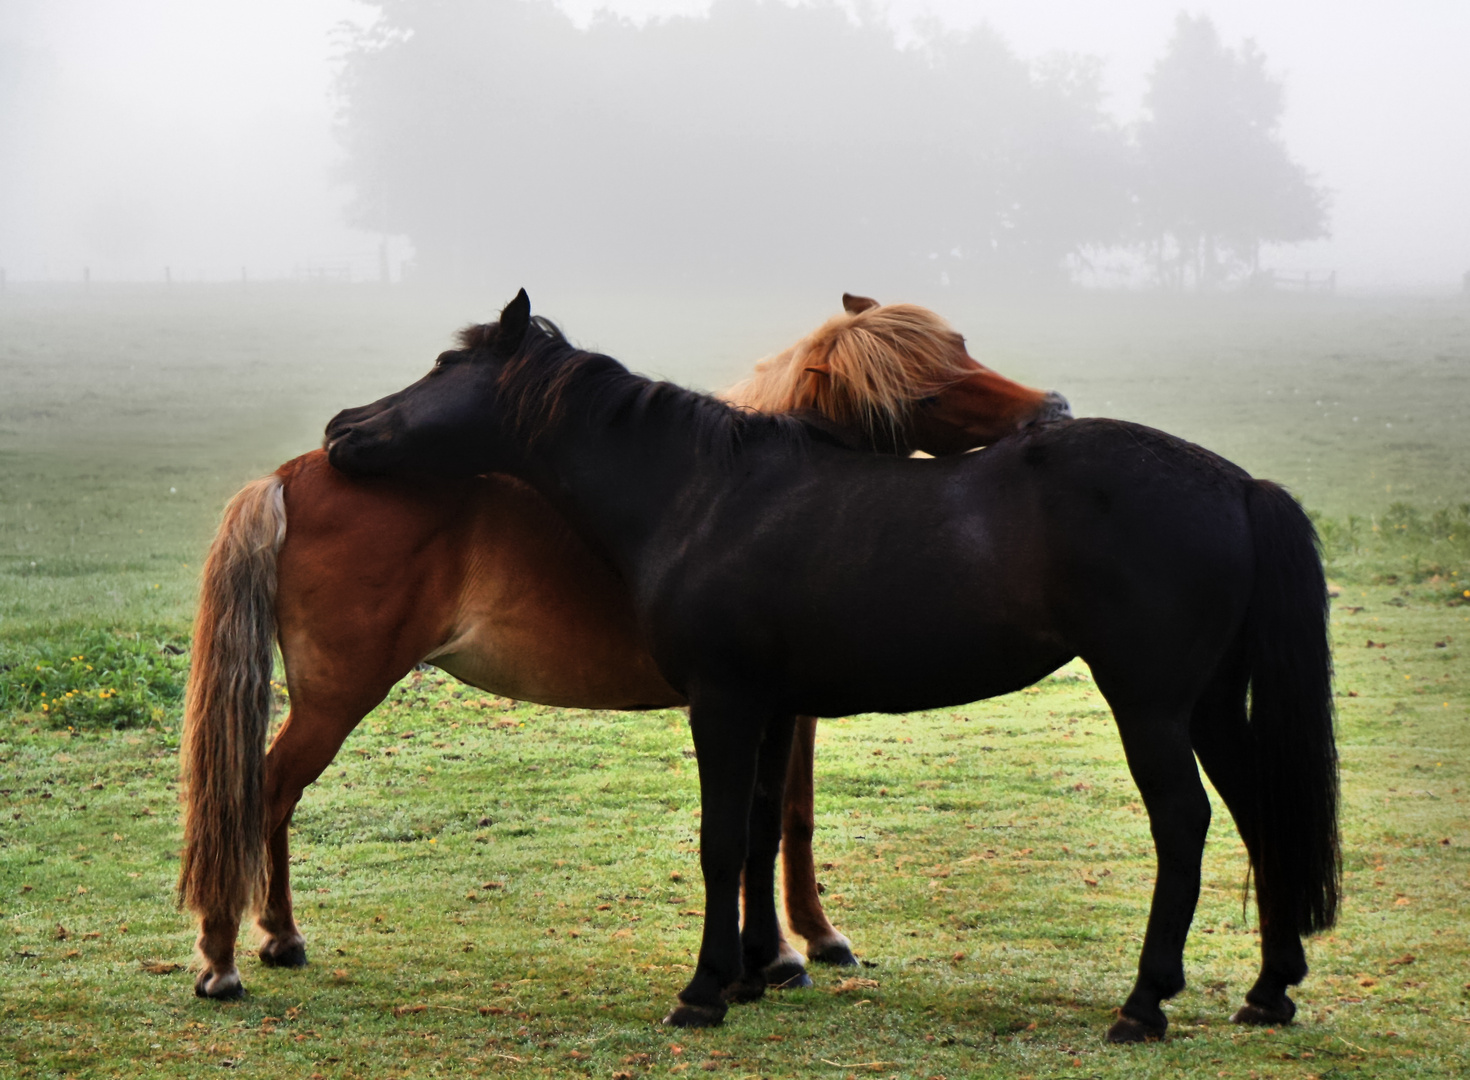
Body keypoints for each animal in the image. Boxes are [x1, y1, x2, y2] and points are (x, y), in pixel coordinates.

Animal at [180, 293, 1070, 999]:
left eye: (962, 348)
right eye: (928, 378)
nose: (1053, 408)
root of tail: (293, 474)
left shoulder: (777, 706)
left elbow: (779, 819)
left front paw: (785, 950)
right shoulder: (768, 707)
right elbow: (776, 820)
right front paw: (793, 950)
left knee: (270, 798)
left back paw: (275, 939)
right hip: (337, 697)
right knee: (264, 792)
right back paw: (229, 957)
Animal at [327, 290, 1340, 1046]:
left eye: (443, 367)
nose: (342, 425)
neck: (701, 492)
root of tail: (1236, 483)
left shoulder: (724, 704)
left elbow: (721, 839)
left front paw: (703, 991)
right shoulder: (774, 708)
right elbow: (762, 830)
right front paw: (755, 973)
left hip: (1151, 703)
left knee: (1186, 822)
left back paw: (1144, 1003)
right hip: (1209, 704)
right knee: (1256, 808)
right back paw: (1269, 989)